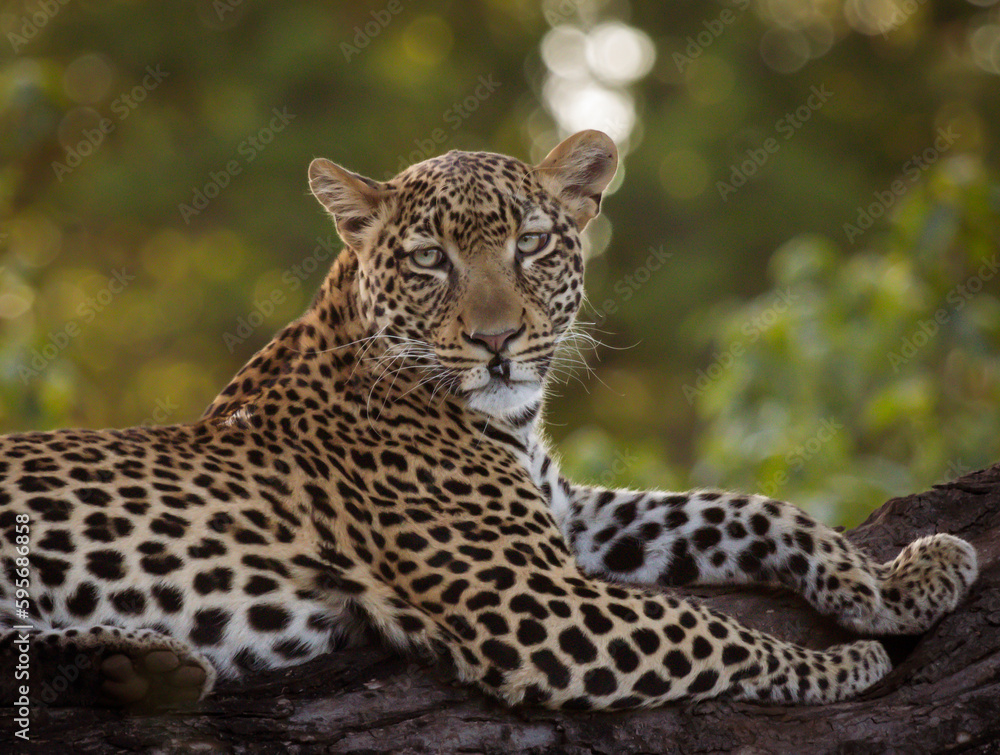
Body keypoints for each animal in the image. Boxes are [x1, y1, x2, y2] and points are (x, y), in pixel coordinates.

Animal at [0, 130, 979, 712]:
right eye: (430, 260)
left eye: (532, 244)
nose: (498, 339)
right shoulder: (532, 600)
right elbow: (708, 631)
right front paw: (844, 666)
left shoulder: (571, 518)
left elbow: (746, 508)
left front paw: (899, 582)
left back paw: (135, 667)